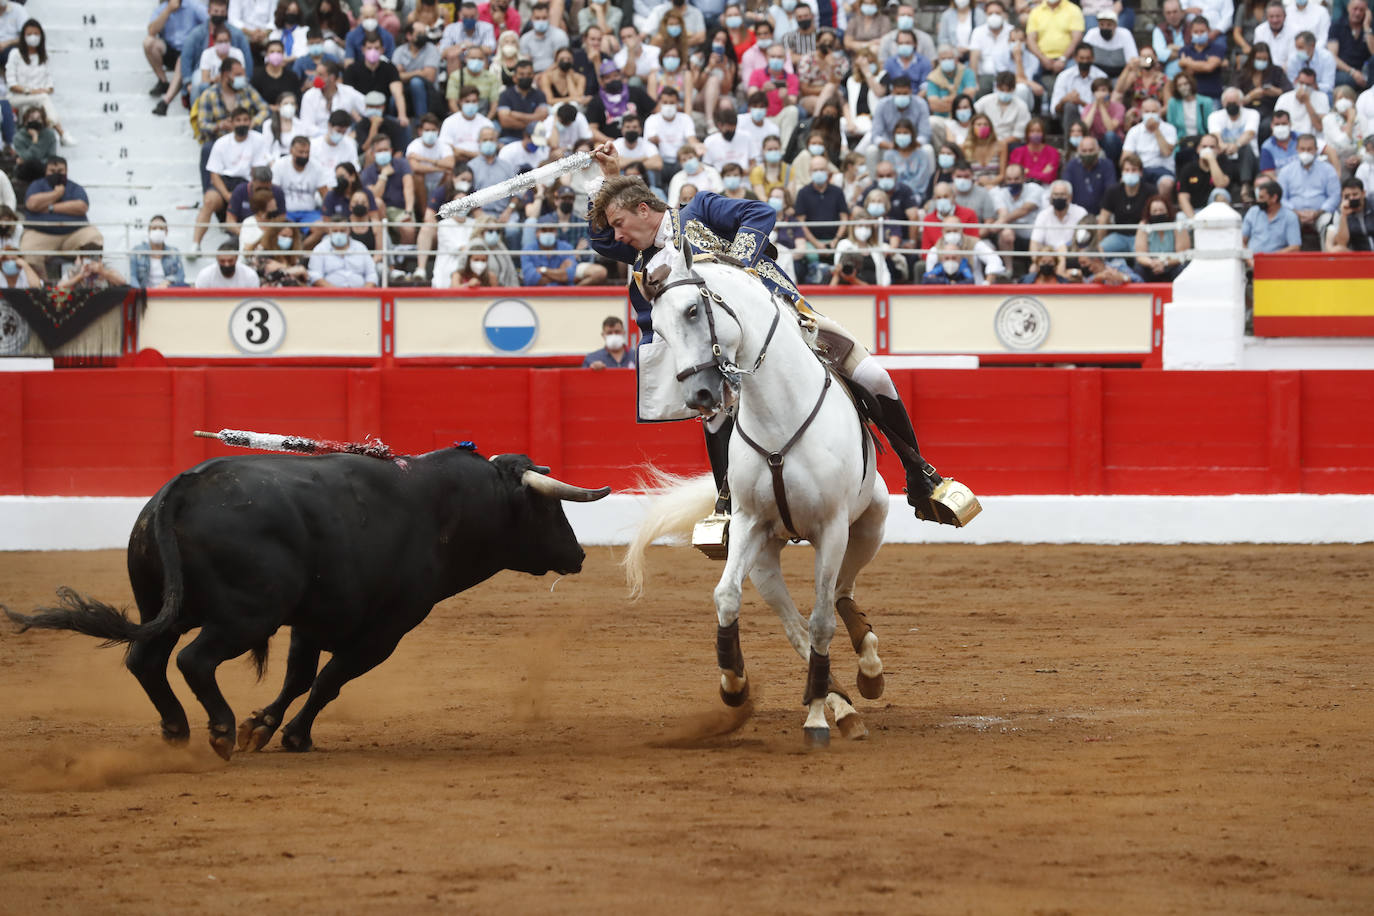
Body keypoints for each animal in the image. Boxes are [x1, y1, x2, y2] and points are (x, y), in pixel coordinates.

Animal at [4, 450, 607, 758]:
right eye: (549, 509)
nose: (579, 554)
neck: (441, 506)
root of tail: (186, 485)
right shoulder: (385, 630)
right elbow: (329, 680)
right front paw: (288, 735)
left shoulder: (314, 620)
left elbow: (299, 677)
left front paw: (265, 727)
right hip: (246, 614)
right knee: (194, 660)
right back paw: (220, 732)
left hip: (164, 604)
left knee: (146, 659)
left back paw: (177, 731)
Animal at [626, 247, 884, 747]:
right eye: (657, 330)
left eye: (693, 310)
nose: (699, 395)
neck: (778, 412)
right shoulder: (748, 522)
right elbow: (727, 597)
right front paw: (734, 684)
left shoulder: (832, 527)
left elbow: (822, 620)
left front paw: (815, 720)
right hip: (766, 559)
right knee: (795, 624)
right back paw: (843, 705)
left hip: (871, 519)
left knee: (840, 594)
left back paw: (867, 671)